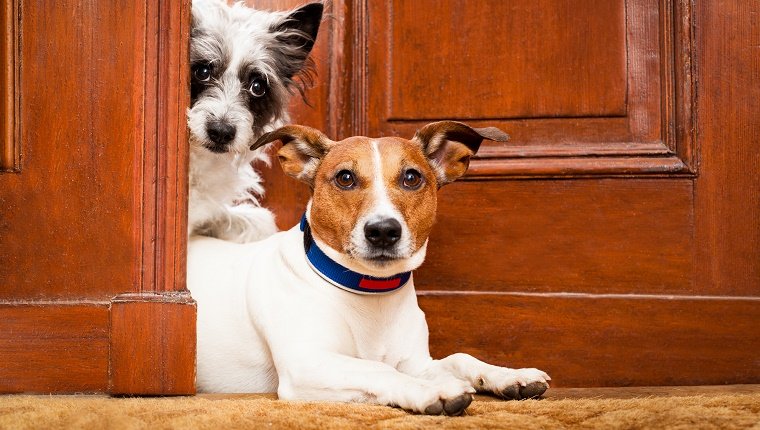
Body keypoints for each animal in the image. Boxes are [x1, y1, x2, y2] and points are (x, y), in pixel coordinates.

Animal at [187, 120, 548, 414]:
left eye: (411, 177)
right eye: (345, 178)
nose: (383, 230)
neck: (369, 290)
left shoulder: (418, 362)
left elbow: (461, 358)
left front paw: (510, 375)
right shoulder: (307, 365)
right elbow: (379, 369)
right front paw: (433, 390)